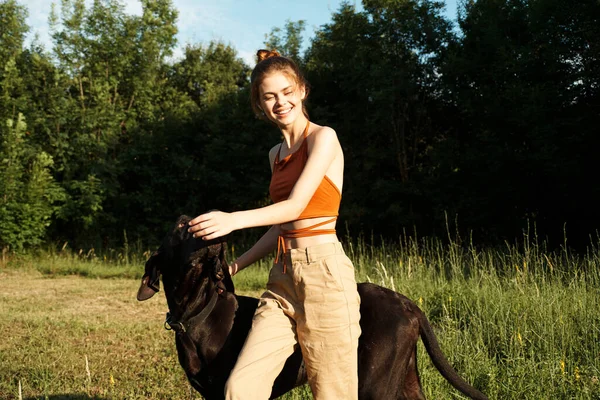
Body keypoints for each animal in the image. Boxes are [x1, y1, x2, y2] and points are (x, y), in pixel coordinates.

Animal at [138, 217, 490, 398]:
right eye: (180, 227)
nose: (216, 227)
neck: (196, 312)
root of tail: (407, 303)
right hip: (403, 378)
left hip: (374, 383)